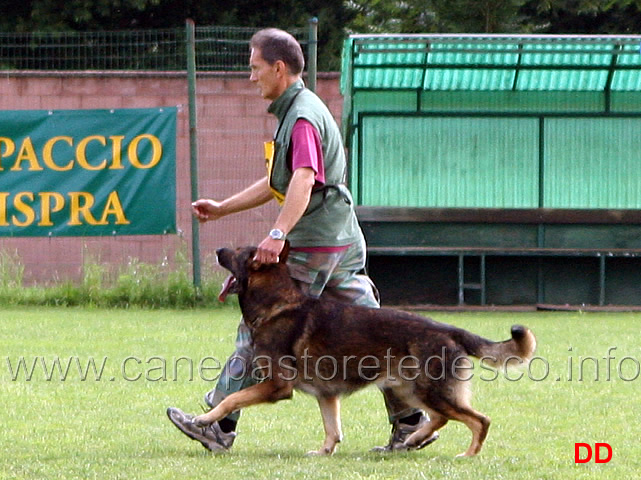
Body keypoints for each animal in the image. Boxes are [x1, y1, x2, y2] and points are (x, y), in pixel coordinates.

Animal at [191, 244, 536, 458]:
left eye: (240, 252)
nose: (218, 250)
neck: (276, 304)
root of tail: (450, 329)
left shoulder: (277, 386)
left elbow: (232, 398)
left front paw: (205, 418)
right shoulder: (327, 396)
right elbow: (332, 429)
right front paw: (324, 452)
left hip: (428, 391)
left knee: (479, 420)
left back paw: (466, 454)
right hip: (411, 389)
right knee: (440, 419)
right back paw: (414, 438)